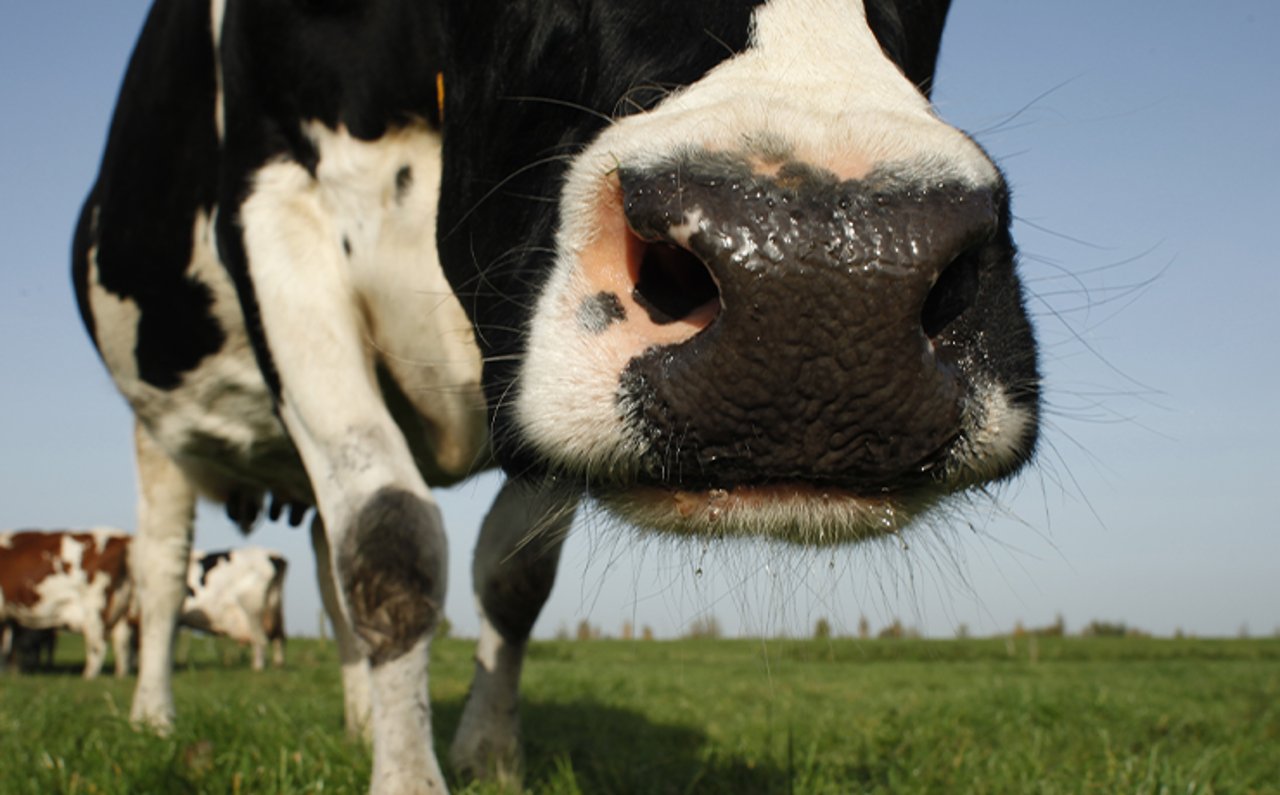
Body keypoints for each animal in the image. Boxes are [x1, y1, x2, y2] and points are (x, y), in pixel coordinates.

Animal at [0, 530, 135, 681]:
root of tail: (121, 537)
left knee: (97, 646)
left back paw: (87, 678)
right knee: (122, 643)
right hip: (121, 611)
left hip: (95, 609)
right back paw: (119, 676)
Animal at [72, 1, 1039, 788]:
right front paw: (410, 778)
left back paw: (358, 721)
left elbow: (511, 574)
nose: (824, 282)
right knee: (162, 571)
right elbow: (391, 544)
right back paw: (153, 719)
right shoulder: (277, 213)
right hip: (156, 430)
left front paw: (487, 754)